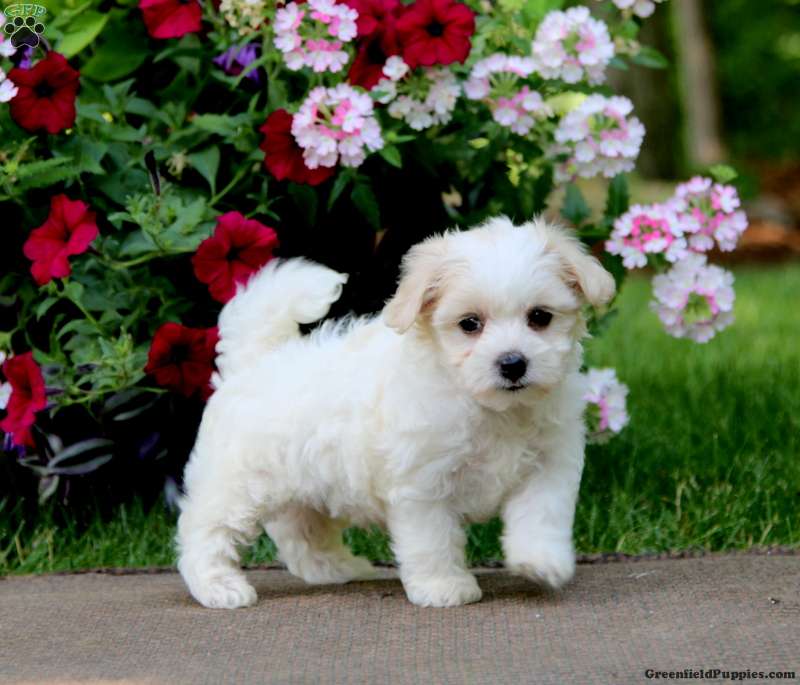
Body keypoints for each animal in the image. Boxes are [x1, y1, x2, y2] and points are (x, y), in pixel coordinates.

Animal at [177, 215, 612, 608]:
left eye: (540, 317)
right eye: (470, 324)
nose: (513, 363)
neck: (490, 408)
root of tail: (253, 362)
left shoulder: (548, 464)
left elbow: (541, 514)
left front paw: (542, 560)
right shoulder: (423, 484)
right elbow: (432, 539)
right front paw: (443, 587)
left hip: (305, 488)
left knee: (302, 534)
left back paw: (339, 568)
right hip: (237, 483)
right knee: (205, 531)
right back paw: (219, 588)